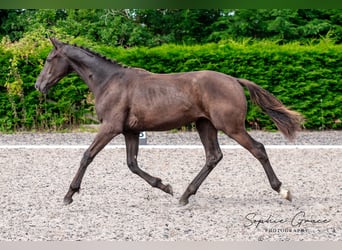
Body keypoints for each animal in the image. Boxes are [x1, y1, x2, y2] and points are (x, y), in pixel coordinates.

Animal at [34, 37, 302, 205]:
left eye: (48, 59)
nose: (39, 85)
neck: (109, 81)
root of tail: (234, 80)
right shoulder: (130, 131)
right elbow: (132, 164)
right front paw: (165, 186)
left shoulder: (110, 128)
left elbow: (87, 156)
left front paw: (69, 195)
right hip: (205, 125)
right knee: (213, 156)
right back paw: (184, 195)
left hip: (231, 127)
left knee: (258, 149)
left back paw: (283, 191)